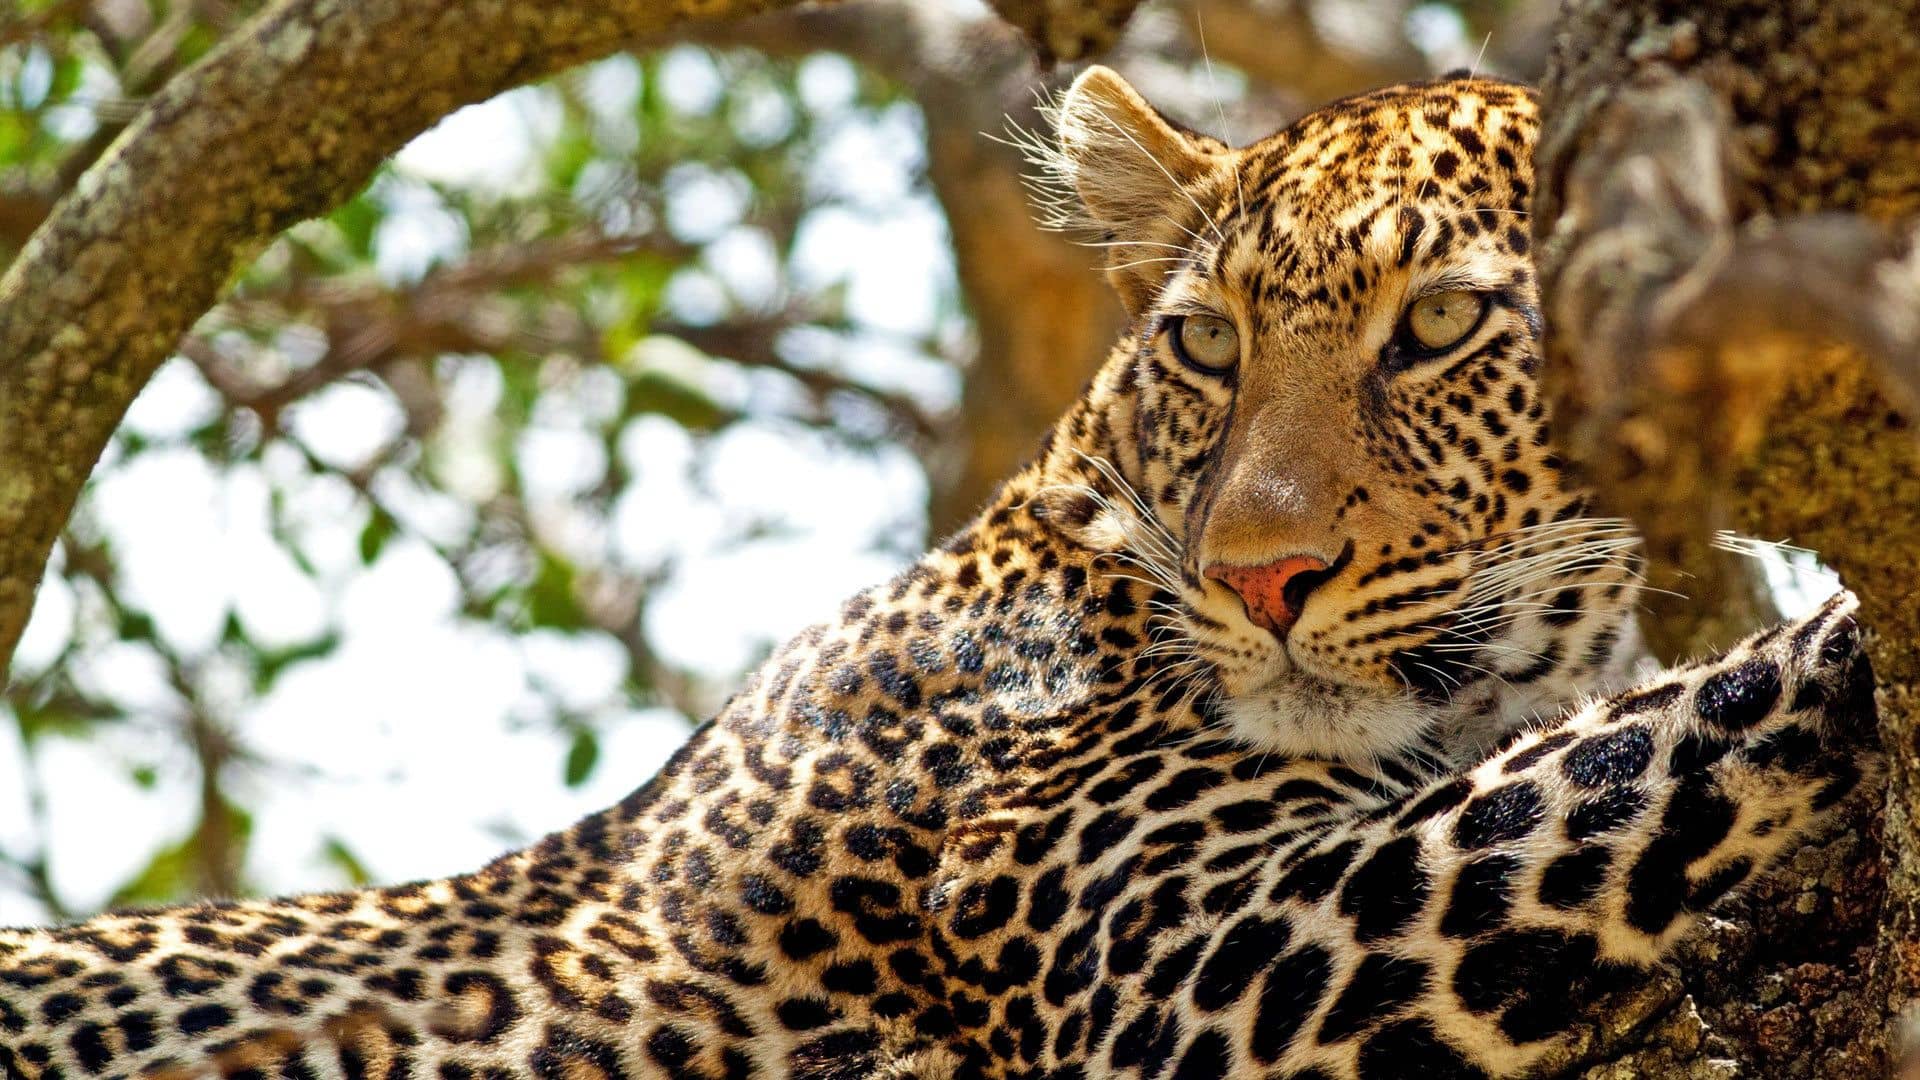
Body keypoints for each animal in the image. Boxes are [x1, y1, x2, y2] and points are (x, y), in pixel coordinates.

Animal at [0, 62, 1881, 1068]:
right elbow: (1624, 759)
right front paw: (1843, 643)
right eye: (1210, 346)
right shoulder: (1192, 966)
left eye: (1435, 331)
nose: (1261, 578)